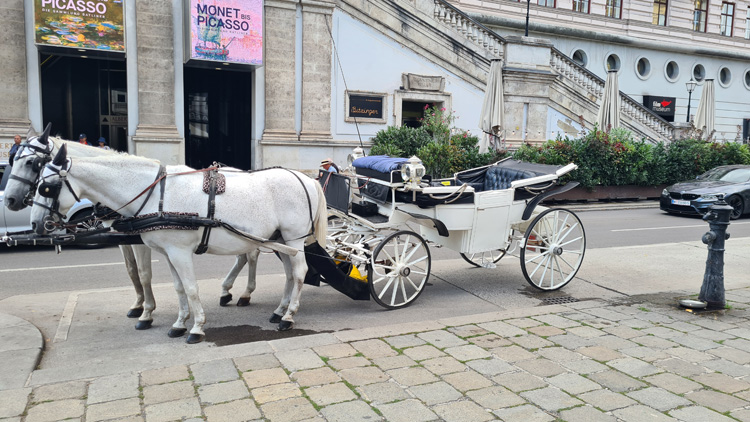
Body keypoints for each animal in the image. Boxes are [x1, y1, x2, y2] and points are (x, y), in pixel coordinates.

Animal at [3, 126, 261, 331]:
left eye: (32, 163)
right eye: (14, 159)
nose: (11, 201)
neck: (145, 191)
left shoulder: (140, 240)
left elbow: (144, 273)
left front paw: (147, 313)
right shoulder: (123, 237)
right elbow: (131, 270)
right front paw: (138, 306)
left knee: (251, 255)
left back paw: (243, 292)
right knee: (245, 256)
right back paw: (230, 291)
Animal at [30, 145, 327, 343]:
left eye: (46, 187)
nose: (36, 224)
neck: (154, 194)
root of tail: (306, 178)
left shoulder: (179, 252)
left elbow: (191, 288)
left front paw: (195, 327)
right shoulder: (168, 252)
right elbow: (178, 288)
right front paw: (179, 323)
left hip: (293, 238)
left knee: (299, 272)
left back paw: (288, 317)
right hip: (280, 239)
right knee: (288, 274)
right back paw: (279, 310)